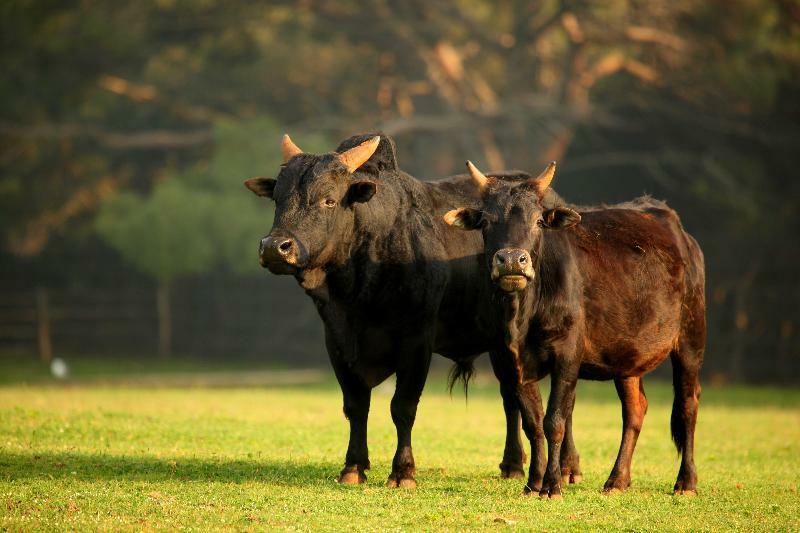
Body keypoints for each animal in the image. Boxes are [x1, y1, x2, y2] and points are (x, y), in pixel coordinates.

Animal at [244, 134, 580, 486]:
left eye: (329, 200)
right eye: (278, 199)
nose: (275, 247)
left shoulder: (417, 342)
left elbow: (402, 407)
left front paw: (403, 470)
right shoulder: (336, 342)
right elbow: (355, 406)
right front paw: (353, 466)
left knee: (564, 404)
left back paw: (568, 468)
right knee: (510, 398)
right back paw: (513, 464)